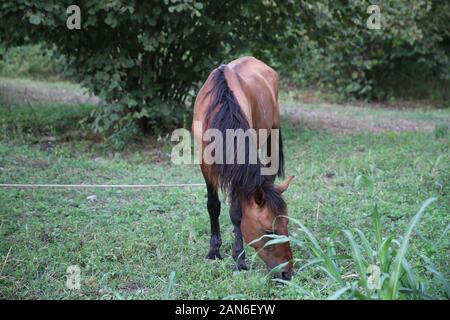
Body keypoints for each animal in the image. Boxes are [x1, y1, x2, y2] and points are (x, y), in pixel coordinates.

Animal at [192, 56, 294, 278]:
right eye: (269, 231)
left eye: (287, 224)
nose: (287, 273)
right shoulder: (205, 164)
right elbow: (213, 206)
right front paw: (214, 251)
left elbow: (236, 212)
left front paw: (239, 258)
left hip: (272, 135)